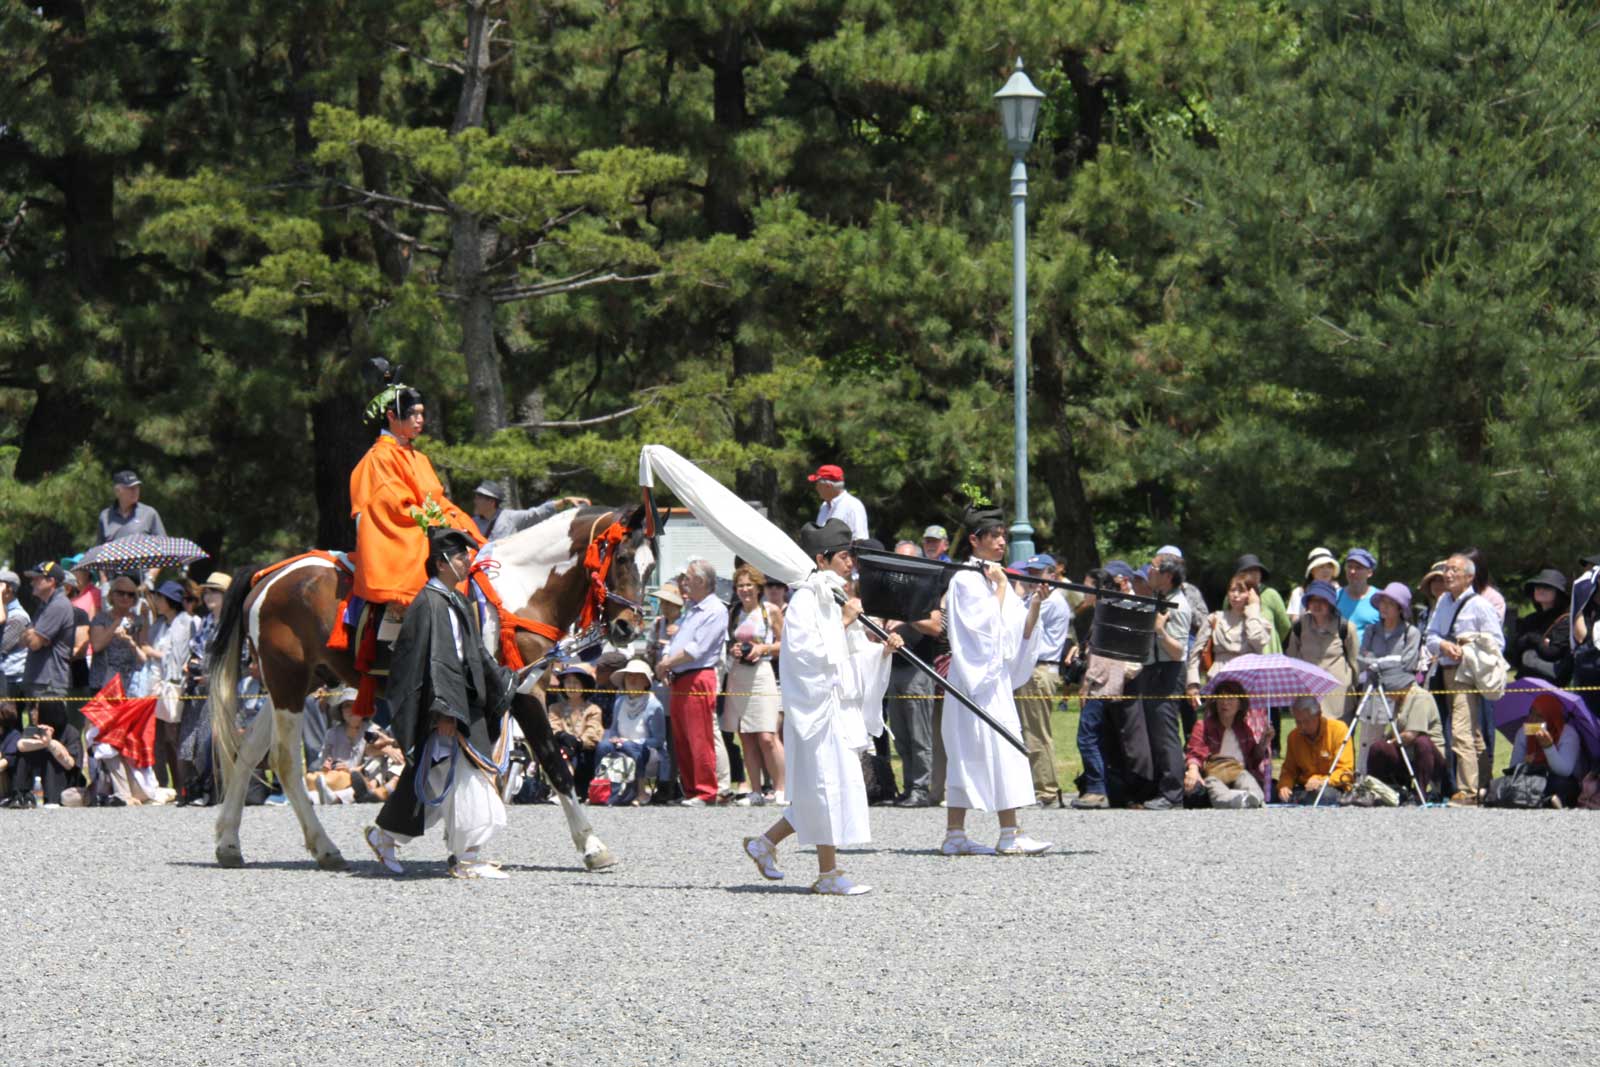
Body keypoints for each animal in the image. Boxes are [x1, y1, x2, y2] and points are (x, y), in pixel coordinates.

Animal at [206, 505, 649, 870]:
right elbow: (554, 764)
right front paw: (591, 846)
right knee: (284, 761)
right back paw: (325, 846)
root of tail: (271, 574)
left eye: (649, 566)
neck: (523, 592)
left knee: (247, 753)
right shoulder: (524, 692)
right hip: (288, 680)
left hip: (294, 683)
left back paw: (229, 843)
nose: (628, 627)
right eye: (622, 558)